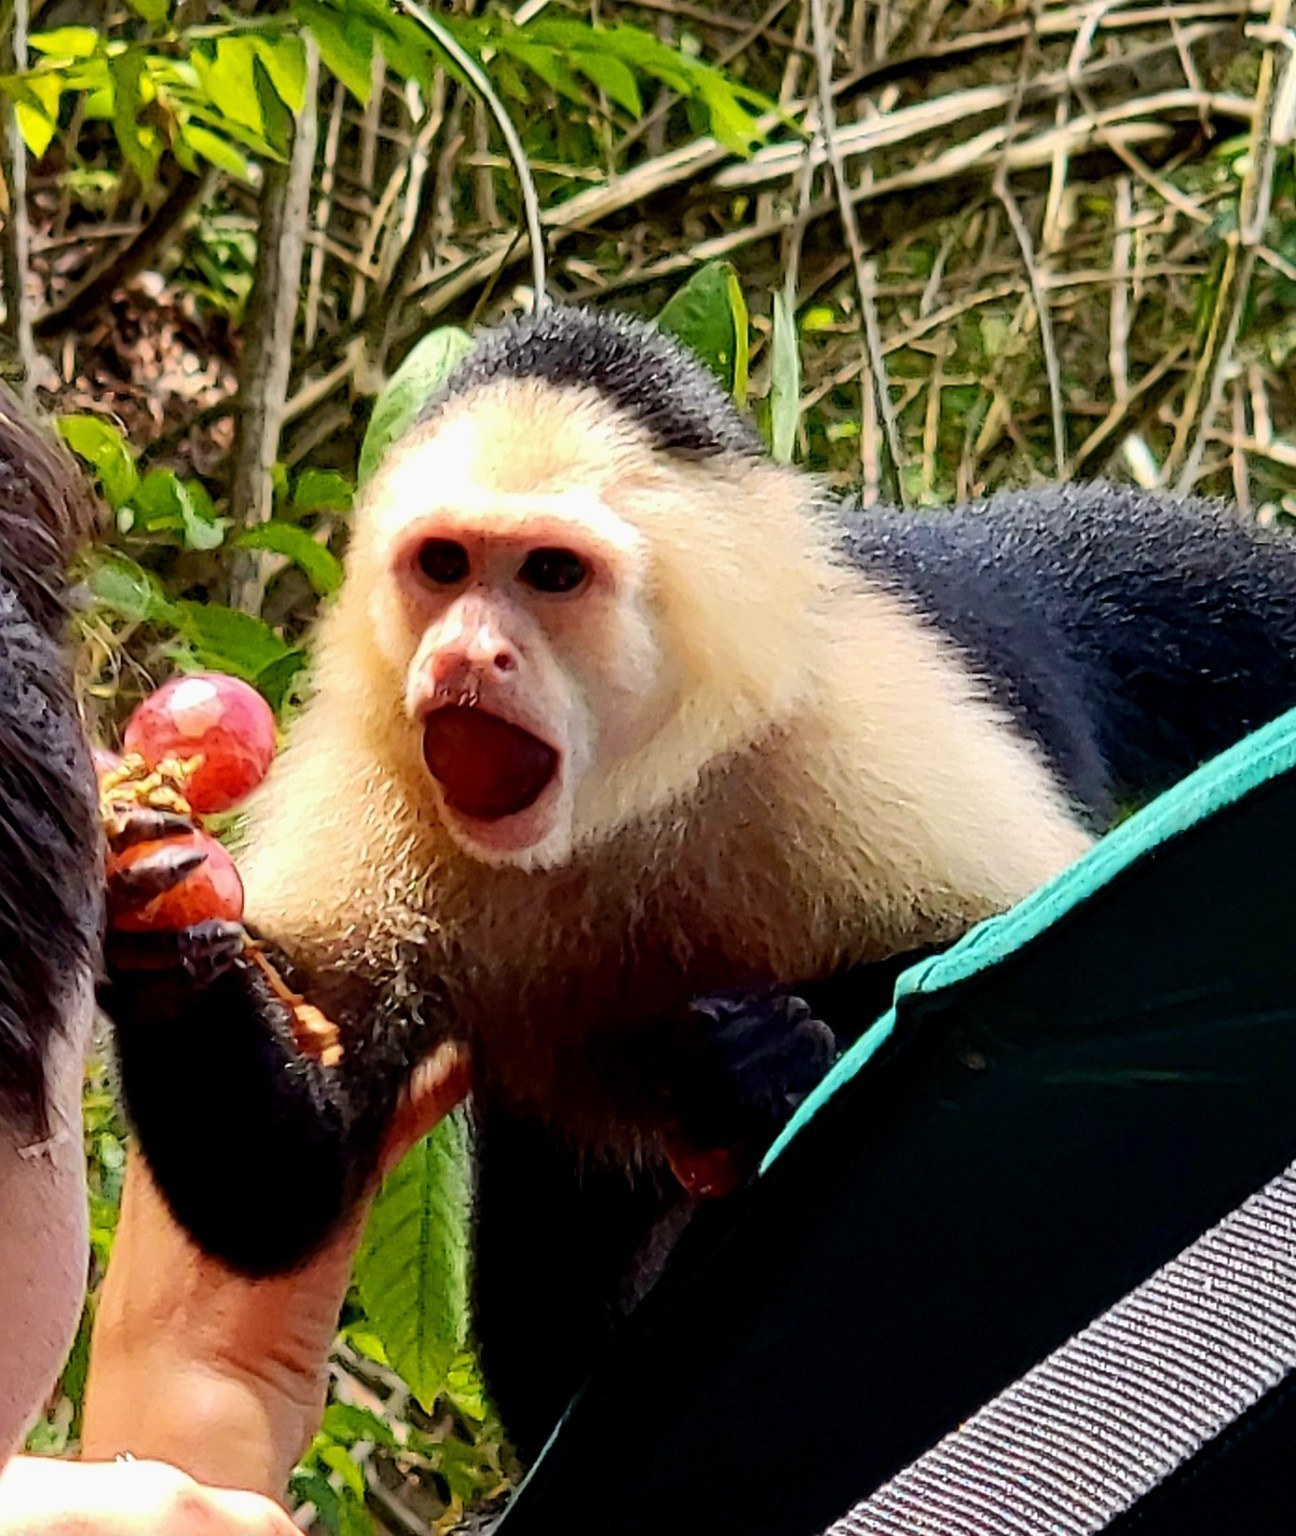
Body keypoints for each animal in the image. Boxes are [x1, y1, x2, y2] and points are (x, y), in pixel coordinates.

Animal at [98, 304, 1296, 1461]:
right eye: (444, 566)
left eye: (550, 574)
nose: (467, 655)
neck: (608, 810)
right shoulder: (376, 770)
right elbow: (281, 1188)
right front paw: (153, 923)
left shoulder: (849, 724)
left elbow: (1021, 980)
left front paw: (772, 1051)